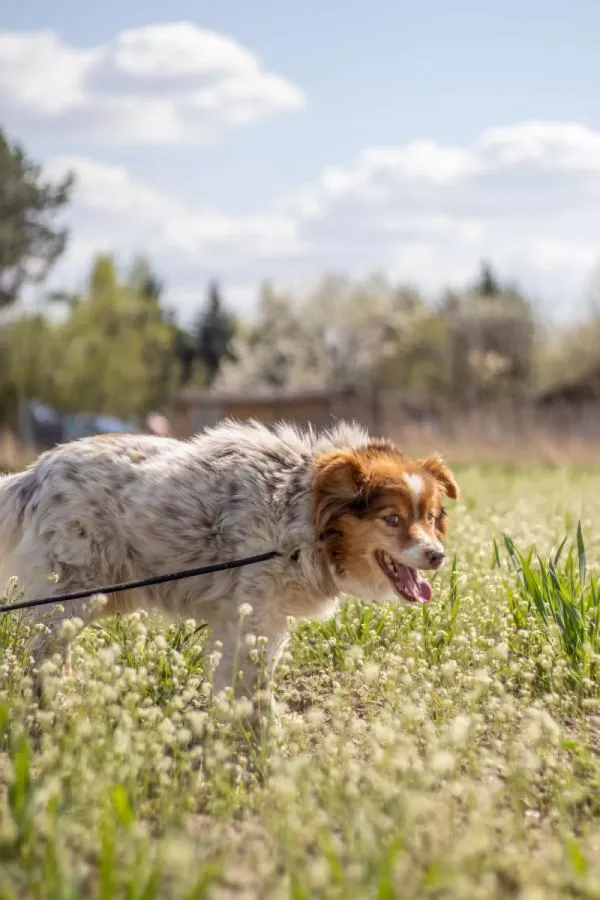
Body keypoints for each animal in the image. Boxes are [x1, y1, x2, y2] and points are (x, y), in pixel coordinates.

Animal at [0, 418, 460, 708]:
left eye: (430, 517)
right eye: (392, 519)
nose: (437, 556)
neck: (298, 514)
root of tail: (35, 474)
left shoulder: (255, 623)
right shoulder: (251, 623)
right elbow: (253, 699)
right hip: (68, 601)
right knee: (41, 663)